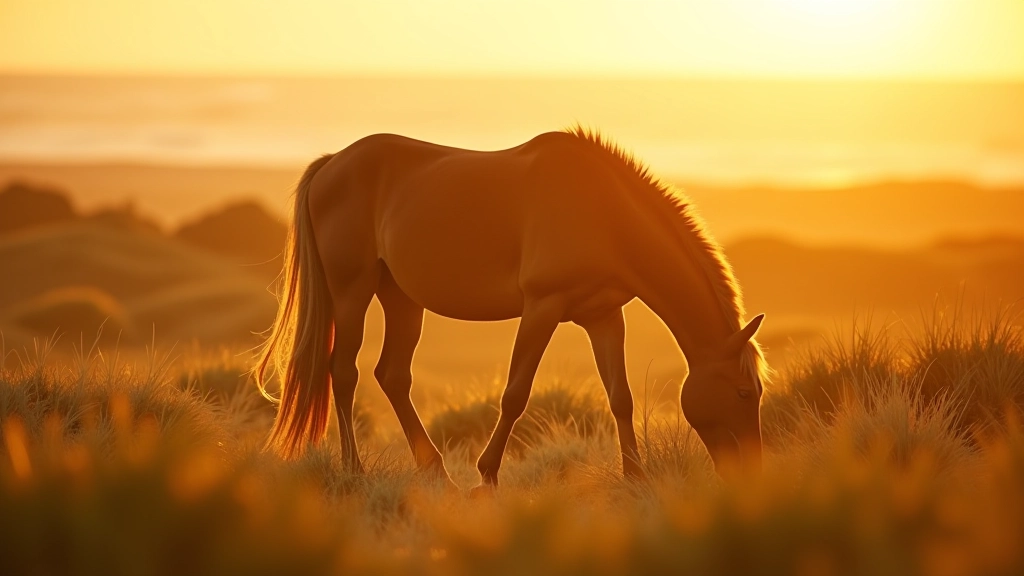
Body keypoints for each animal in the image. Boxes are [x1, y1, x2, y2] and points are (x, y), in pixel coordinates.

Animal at [255, 127, 771, 490]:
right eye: (744, 392)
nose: (750, 473)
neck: (603, 212)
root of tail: (331, 165)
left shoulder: (604, 316)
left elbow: (619, 396)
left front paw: (636, 477)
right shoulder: (542, 307)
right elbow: (515, 394)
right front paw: (486, 476)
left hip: (400, 297)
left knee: (392, 376)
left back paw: (435, 471)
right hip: (352, 290)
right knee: (343, 373)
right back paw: (355, 470)